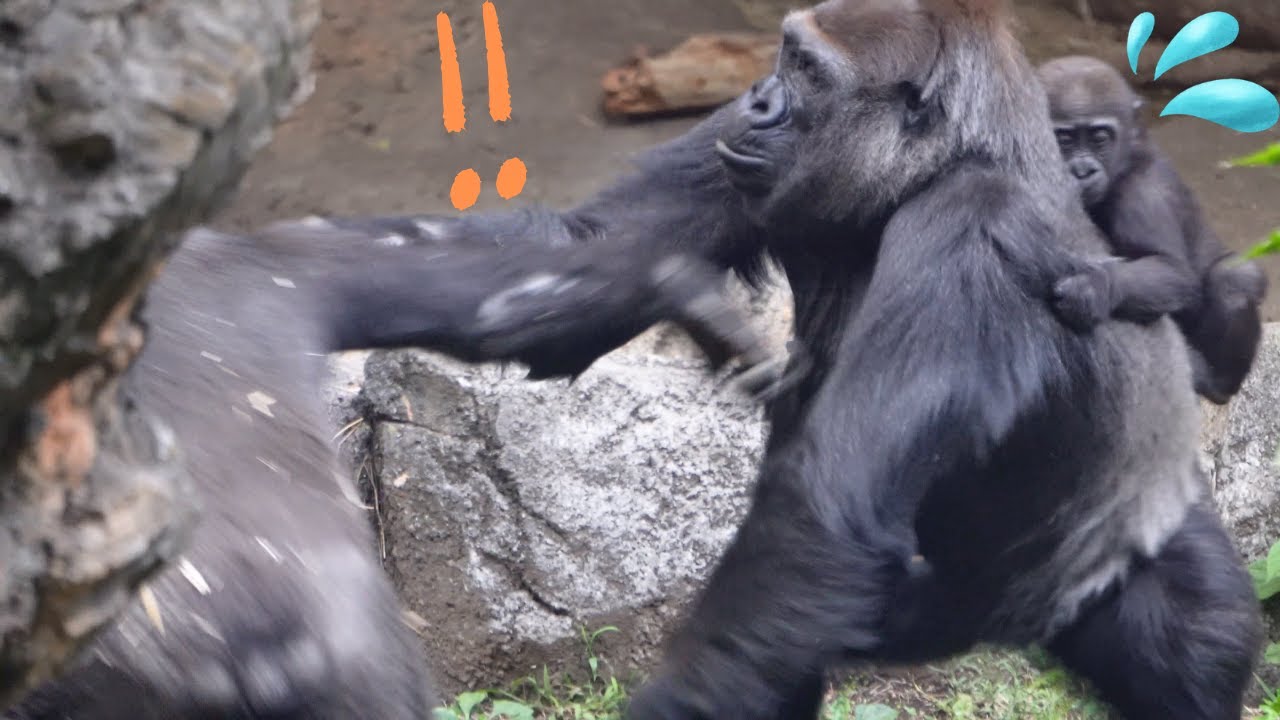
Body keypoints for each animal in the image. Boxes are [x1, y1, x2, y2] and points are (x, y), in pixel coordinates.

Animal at [1039, 54, 1268, 404]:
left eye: (1100, 139)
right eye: (1063, 140)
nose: (1083, 171)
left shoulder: (1144, 194)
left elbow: (1171, 270)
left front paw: (1094, 287)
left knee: (1235, 278)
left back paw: (1217, 380)